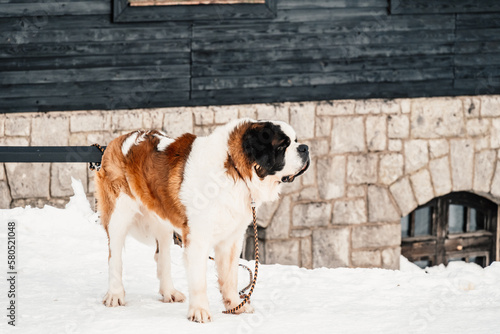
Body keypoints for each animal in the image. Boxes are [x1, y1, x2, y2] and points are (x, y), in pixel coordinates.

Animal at [94, 118, 308, 322]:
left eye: (295, 140)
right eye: (282, 146)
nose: (305, 148)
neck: (235, 168)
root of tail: (118, 139)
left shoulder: (231, 238)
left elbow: (230, 276)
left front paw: (235, 306)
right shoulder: (198, 238)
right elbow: (199, 280)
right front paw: (199, 312)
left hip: (162, 220)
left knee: (162, 256)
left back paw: (169, 292)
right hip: (118, 214)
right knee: (114, 256)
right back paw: (115, 295)